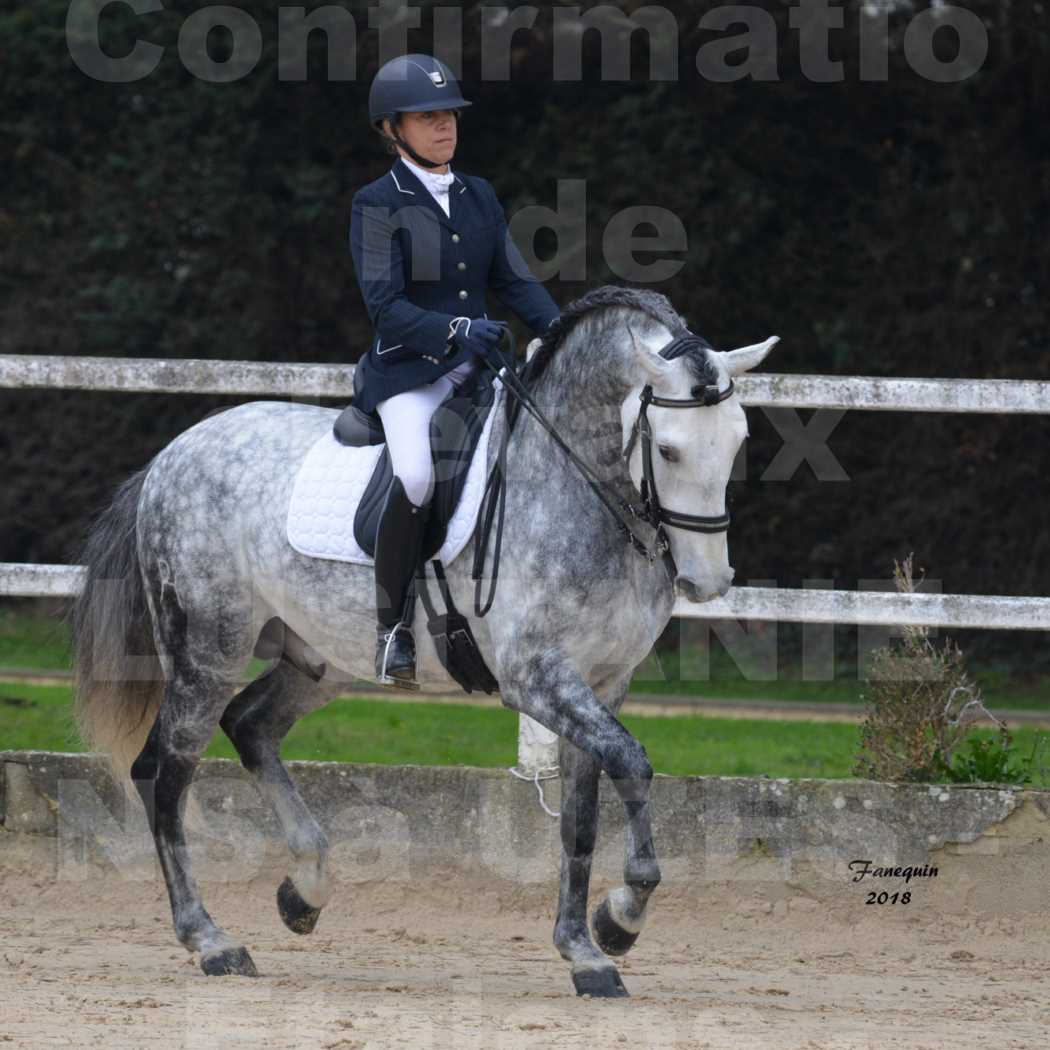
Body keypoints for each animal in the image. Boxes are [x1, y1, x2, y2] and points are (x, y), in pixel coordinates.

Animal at [65, 283, 772, 995]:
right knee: (166, 772)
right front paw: (619, 922)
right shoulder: (536, 679)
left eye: (737, 441)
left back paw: (304, 892)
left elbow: (581, 816)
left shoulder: (603, 683)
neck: (579, 488)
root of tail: (172, 454)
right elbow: (632, 763)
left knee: (250, 726)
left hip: (317, 659)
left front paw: (585, 950)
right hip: (207, 649)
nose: (708, 582)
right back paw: (210, 940)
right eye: (671, 449)